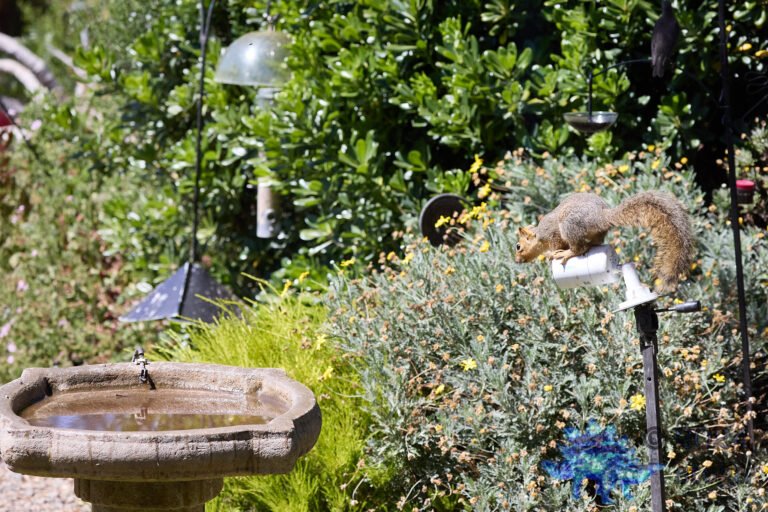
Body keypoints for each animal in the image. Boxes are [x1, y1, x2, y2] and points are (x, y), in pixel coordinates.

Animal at [515, 191, 694, 293]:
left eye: (518, 247)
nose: (516, 261)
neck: (539, 236)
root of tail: (601, 216)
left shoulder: (552, 235)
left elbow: (556, 245)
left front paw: (552, 254)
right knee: (595, 242)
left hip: (569, 224)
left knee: (579, 248)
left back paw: (567, 253)